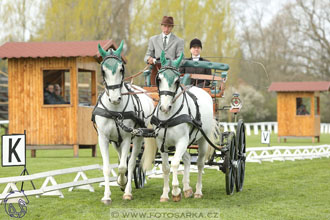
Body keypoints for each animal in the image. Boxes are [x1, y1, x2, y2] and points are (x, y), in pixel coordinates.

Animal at [93, 41, 155, 205]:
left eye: (121, 69)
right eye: (103, 71)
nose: (115, 98)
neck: (114, 110)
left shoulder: (128, 138)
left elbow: (123, 166)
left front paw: (123, 184)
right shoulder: (103, 138)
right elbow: (108, 167)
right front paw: (107, 195)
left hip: (138, 138)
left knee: (131, 163)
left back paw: (127, 190)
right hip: (116, 141)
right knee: (123, 158)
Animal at [141, 50, 214, 202]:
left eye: (177, 81)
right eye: (159, 79)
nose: (164, 107)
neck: (168, 118)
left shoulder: (181, 141)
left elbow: (174, 163)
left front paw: (175, 192)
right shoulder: (162, 143)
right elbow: (165, 167)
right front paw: (165, 194)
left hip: (202, 140)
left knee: (199, 163)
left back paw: (198, 191)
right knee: (187, 159)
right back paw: (187, 189)